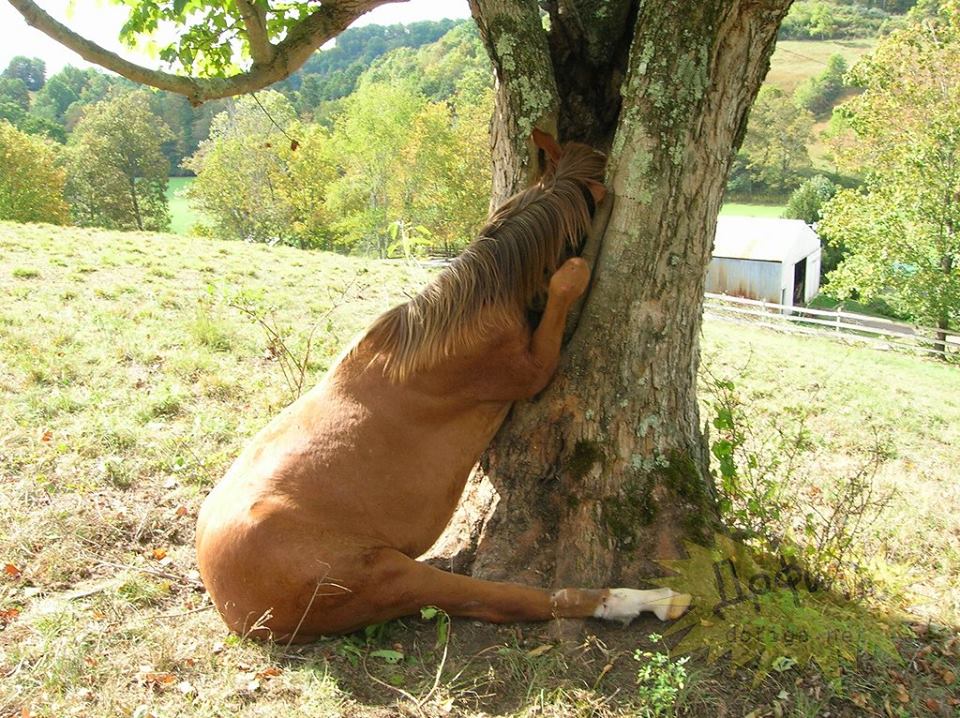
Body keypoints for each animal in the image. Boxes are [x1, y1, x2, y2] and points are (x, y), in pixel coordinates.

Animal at [195, 129, 688, 640]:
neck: (474, 306)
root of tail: (229, 603)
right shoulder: (534, 369)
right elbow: (568, 284)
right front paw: (573, 271)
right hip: (392, 576)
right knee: (511, 599)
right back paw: (644, 600)